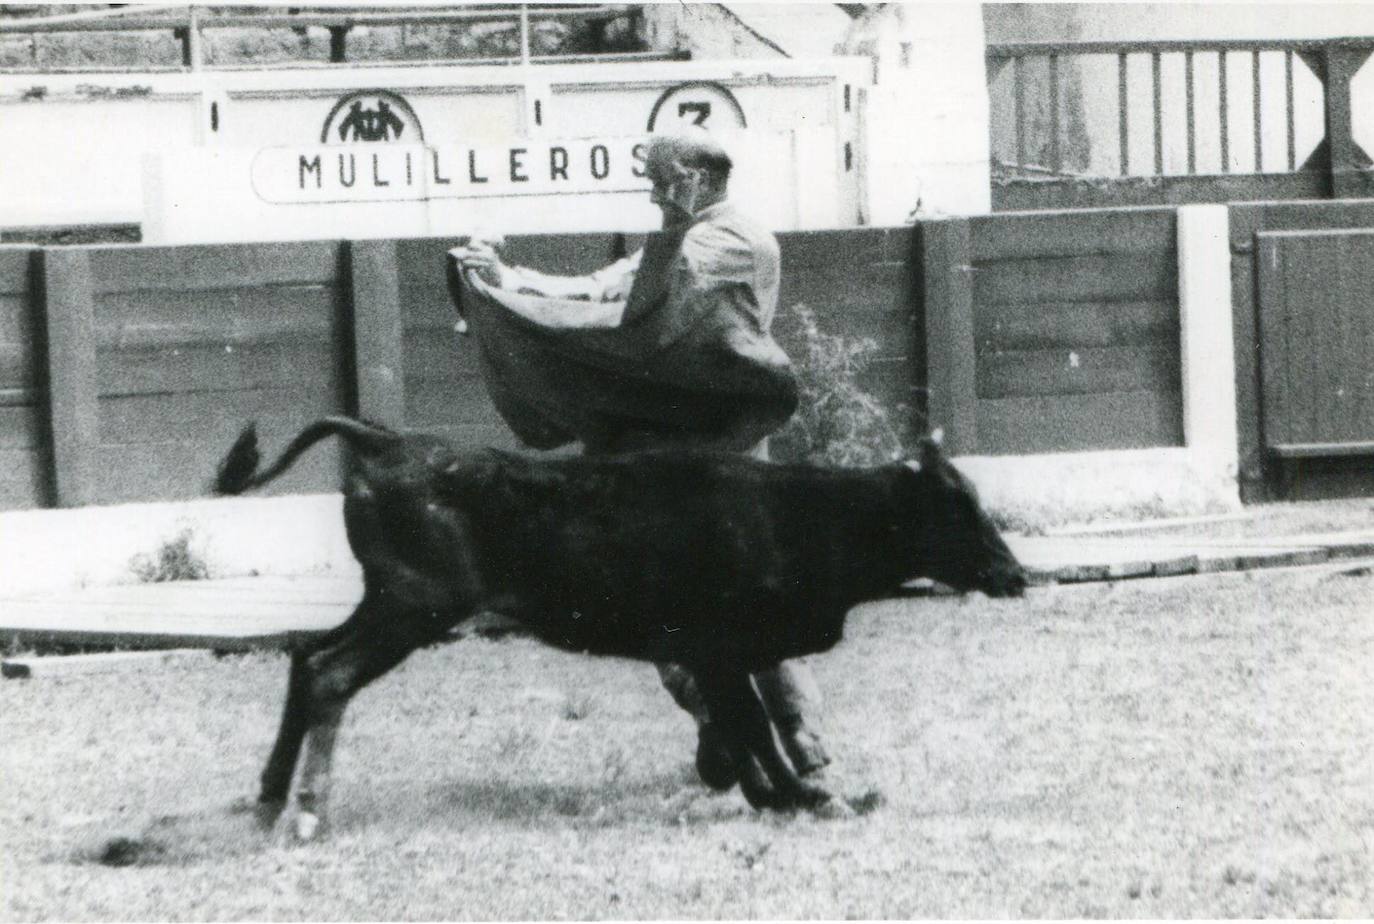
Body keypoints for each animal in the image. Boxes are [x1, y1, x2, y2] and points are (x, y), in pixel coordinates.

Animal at [214, 415, 1027, 841]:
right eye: (958, 508)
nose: (1016, 575)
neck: (803, 516)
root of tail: (388, 441)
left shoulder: (715, 656)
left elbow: (744, 726)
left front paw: (778, 793)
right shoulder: (719, 649)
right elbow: (752, 726)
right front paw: (805, 797)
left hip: (387, 602)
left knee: (304, 658)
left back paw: (268, 799)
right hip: (416, 607)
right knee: (329, 673)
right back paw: (308, 814)